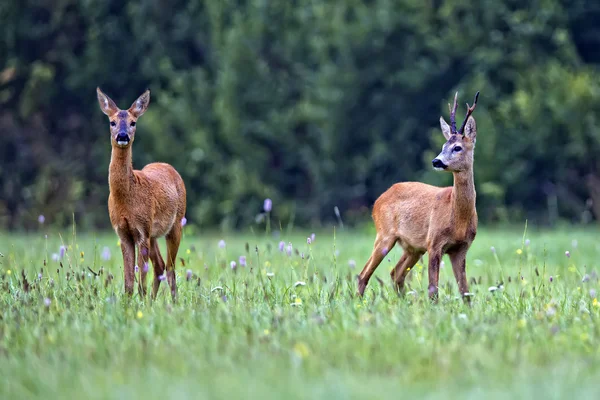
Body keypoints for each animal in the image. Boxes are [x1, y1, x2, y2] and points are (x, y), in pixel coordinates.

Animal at [96, 88, 185, 300]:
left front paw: (141, 301)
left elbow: (141, 279)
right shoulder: (123, 233)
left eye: (133, 122)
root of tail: (168, 166)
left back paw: (173, 301)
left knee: (170, 267)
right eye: (112, 122)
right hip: (154, 234)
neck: (126, 198)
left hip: (176, 223)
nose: (122, 135)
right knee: (160, 265)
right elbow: (128, 281)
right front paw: (129, 303)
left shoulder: (142, 230)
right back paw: (153, 301)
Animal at [358, 91, 480, 300]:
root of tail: (379, 199)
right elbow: (433, 290)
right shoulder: (434, 242)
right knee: (364, 274)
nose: (436, 161)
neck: (458, 218)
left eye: (457, 147)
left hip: (413, 247)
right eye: (443, 145)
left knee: (396, 273)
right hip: (384, 234)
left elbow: (465, 292)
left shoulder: (461, 248)